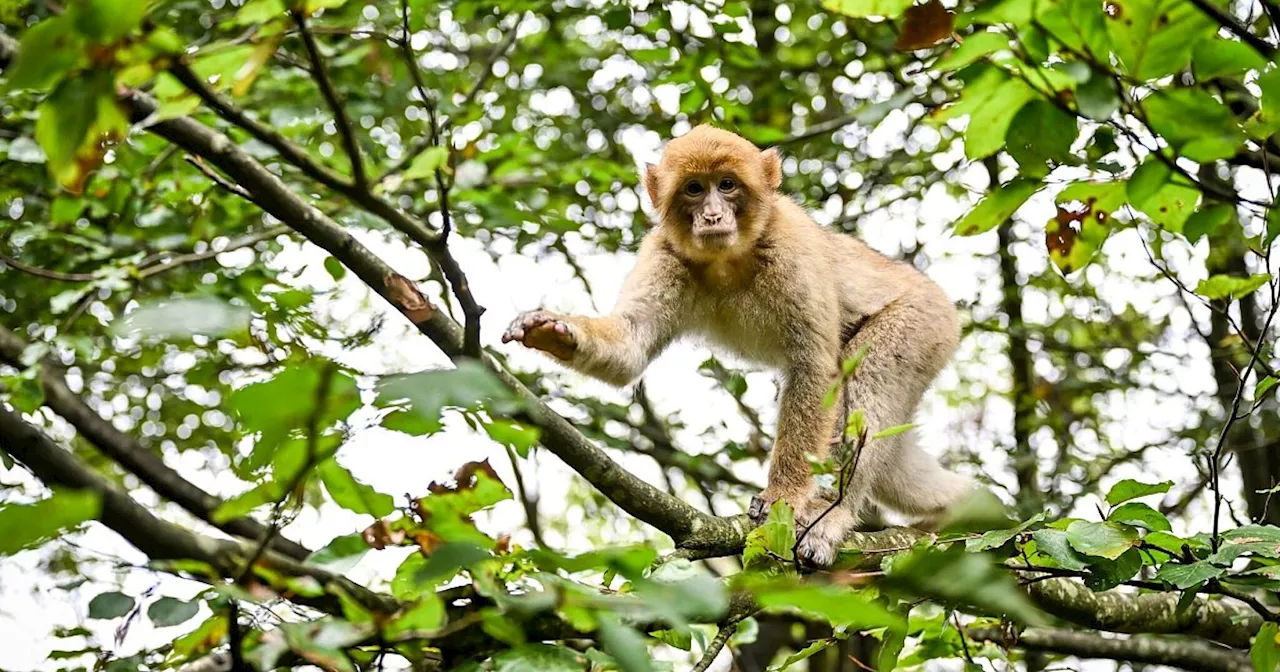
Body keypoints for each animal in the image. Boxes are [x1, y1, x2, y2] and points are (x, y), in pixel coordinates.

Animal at [499, 125, 967, 565]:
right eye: (694, 188)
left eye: (726, 184)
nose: (711, 215)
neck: (729, 257)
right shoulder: (664, 252)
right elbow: (631, 346)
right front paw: (552, 329)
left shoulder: (792, 249)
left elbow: (815, 368)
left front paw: (784, 496)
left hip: (922, 323)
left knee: (866, 385)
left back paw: (831, 515)